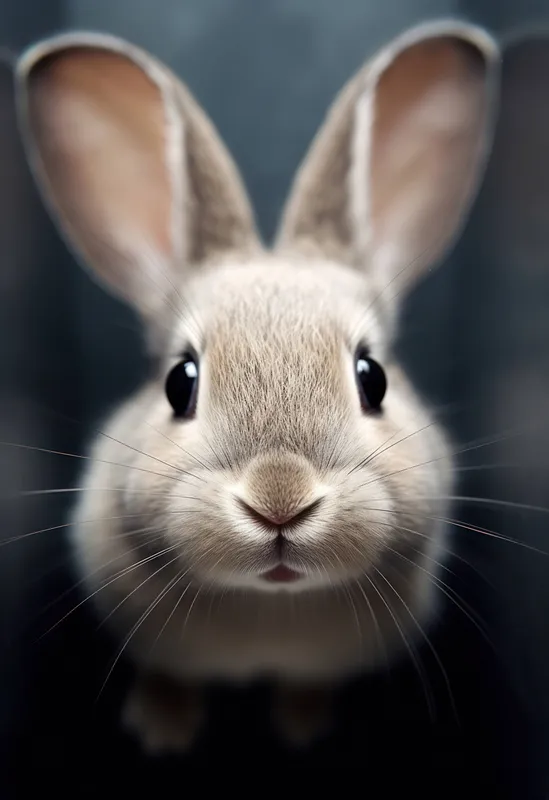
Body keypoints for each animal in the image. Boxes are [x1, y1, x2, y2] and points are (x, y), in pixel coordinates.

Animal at [15, 19, 500, 753]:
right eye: (179, 383)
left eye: (373, 378)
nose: (280, 500)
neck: (270, 607)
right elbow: (168, 673)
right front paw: (162, 732)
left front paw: (302, 728)